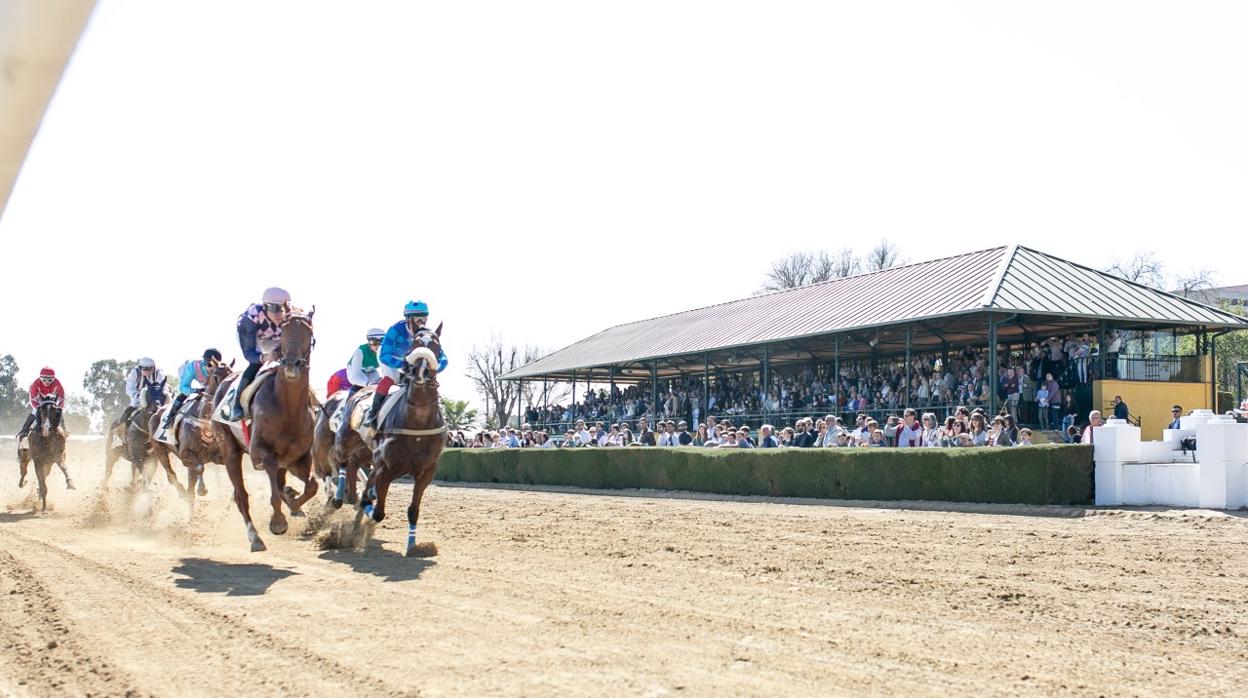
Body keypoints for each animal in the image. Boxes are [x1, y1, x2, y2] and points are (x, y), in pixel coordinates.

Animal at [149, 359, 234, 506]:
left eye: (232, 373)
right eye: (216, 374)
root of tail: (156, 413)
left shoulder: (218, 457)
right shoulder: (186, 456)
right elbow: (200, 468)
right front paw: (202, 489)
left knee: (188, 487)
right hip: (160, 449)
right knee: (171, 475)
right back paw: (182, 492)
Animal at [213, 310, 316, 551]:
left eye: (308, 330)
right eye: (284, 329)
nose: (291, 363)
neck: (288, 408)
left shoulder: (299, 457)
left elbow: (312, 486)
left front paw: (294, 504)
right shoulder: (261, 453)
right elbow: (274, 493)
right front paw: (278, 522)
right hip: (230, 450)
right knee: (241, 495)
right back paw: (255, 538)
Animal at [356, 324, 444, 559]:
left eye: (436, 346)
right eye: (414, 343)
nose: (421, 372)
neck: (418, 423)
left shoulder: (426, 472)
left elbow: (413, 510)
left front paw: (413, 547)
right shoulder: (386, 469)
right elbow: (377, 512)